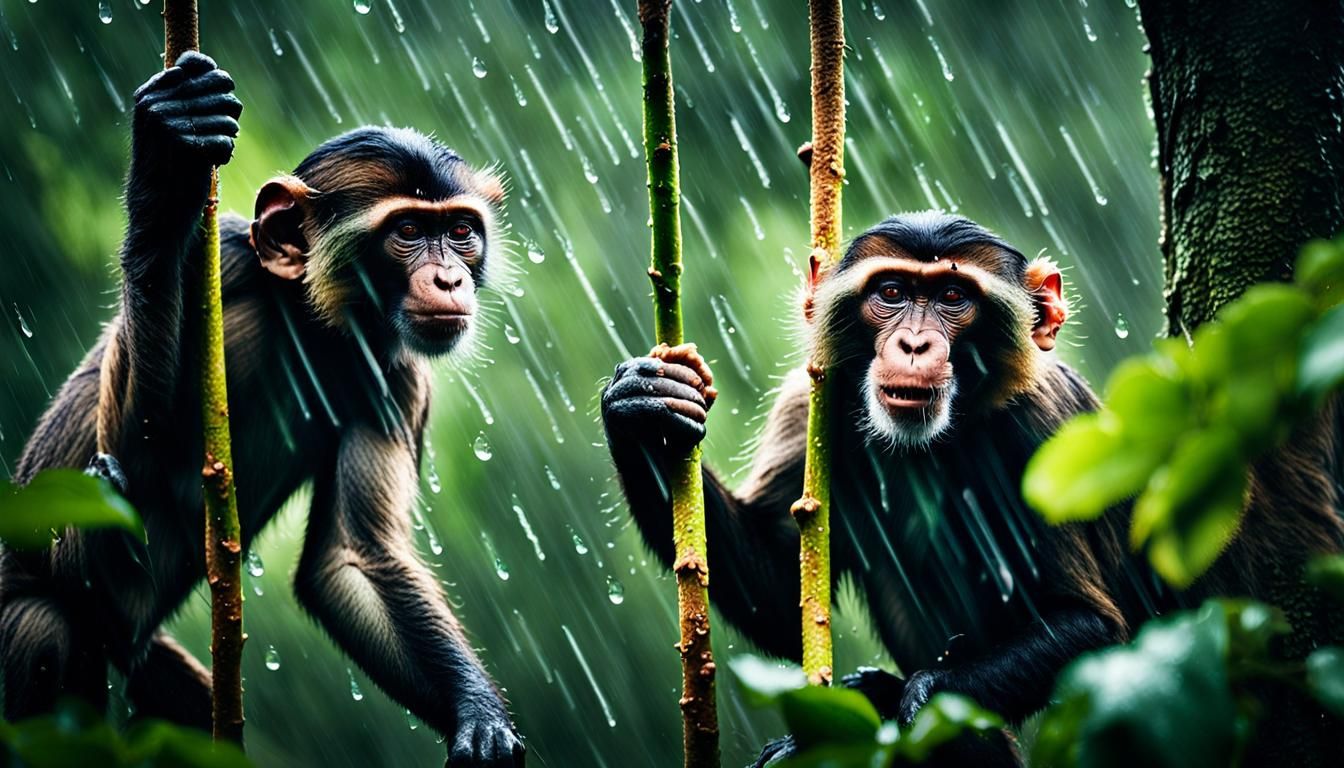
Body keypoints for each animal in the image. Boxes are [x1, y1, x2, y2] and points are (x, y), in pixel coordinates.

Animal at [2, 51, 524, 767]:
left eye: (461, 231)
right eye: (409, 231)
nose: (449, 277)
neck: (311, 319)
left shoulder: (401, 381)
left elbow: (354, 557)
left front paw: (479, 714)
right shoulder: (221, 262)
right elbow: (133, 456)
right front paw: (168, 160)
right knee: (43, 626)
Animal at [601, 212, 1169, 766]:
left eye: (953, 297)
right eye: (892, 293)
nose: (914, 343)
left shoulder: (1047, 424)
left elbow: (1088, 624)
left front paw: (897, 707)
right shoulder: (808, 406)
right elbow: (779, 597)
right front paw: (643, 404)